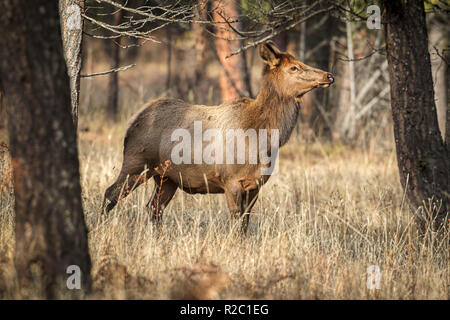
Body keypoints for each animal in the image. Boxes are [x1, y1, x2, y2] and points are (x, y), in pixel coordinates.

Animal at [103, 42, 334, 232]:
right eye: (294, 67)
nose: (328, 76)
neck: (263, 139)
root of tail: (132, 122)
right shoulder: (230, 180)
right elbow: (236, 222)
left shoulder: (255, 185)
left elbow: (246, 223)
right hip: (136, 163)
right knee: (111, 193)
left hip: (167, 177)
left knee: (154, 207)